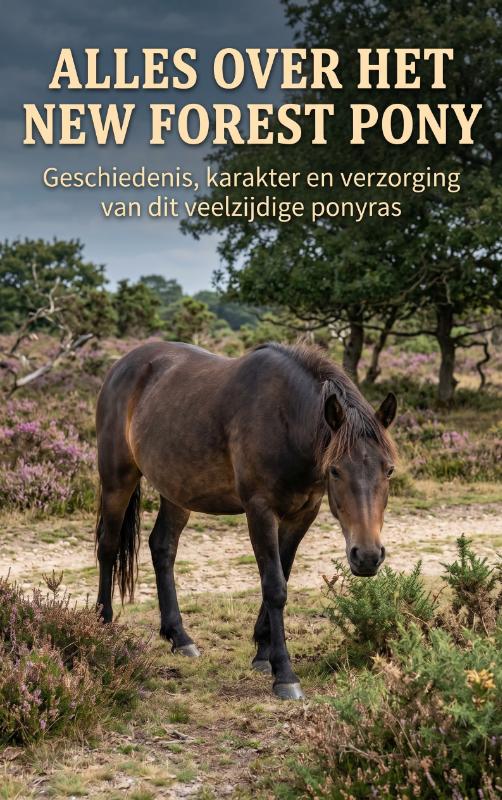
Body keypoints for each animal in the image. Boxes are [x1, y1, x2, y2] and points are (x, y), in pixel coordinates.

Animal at [95, 341, 397, 700]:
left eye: (389, 470)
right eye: (335, 470)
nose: (367, 557)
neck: (287, 420)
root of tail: (122, 365)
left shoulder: (302, 515)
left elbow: (282, 576)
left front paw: (263, 654)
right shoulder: (260, 511)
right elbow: (275, 586)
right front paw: (285, 675)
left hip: (177, 490)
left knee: (163, 547)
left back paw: (179, 637)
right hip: (117, 479)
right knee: (108, 547)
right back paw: (103, 626)